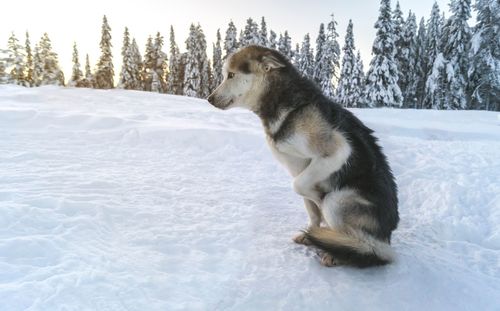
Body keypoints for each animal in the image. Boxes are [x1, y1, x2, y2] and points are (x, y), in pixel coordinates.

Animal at [206, 45, 398, 268]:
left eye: (230, 75)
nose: (209, 98)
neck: (286, 104)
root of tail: (385, 239)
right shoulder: (299, 170)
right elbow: (311, 209)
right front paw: (311, 230)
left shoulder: (338, 151)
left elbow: (301, 188)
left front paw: (318, 200)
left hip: (337, 200)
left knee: (359, 240)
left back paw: (337, 251)